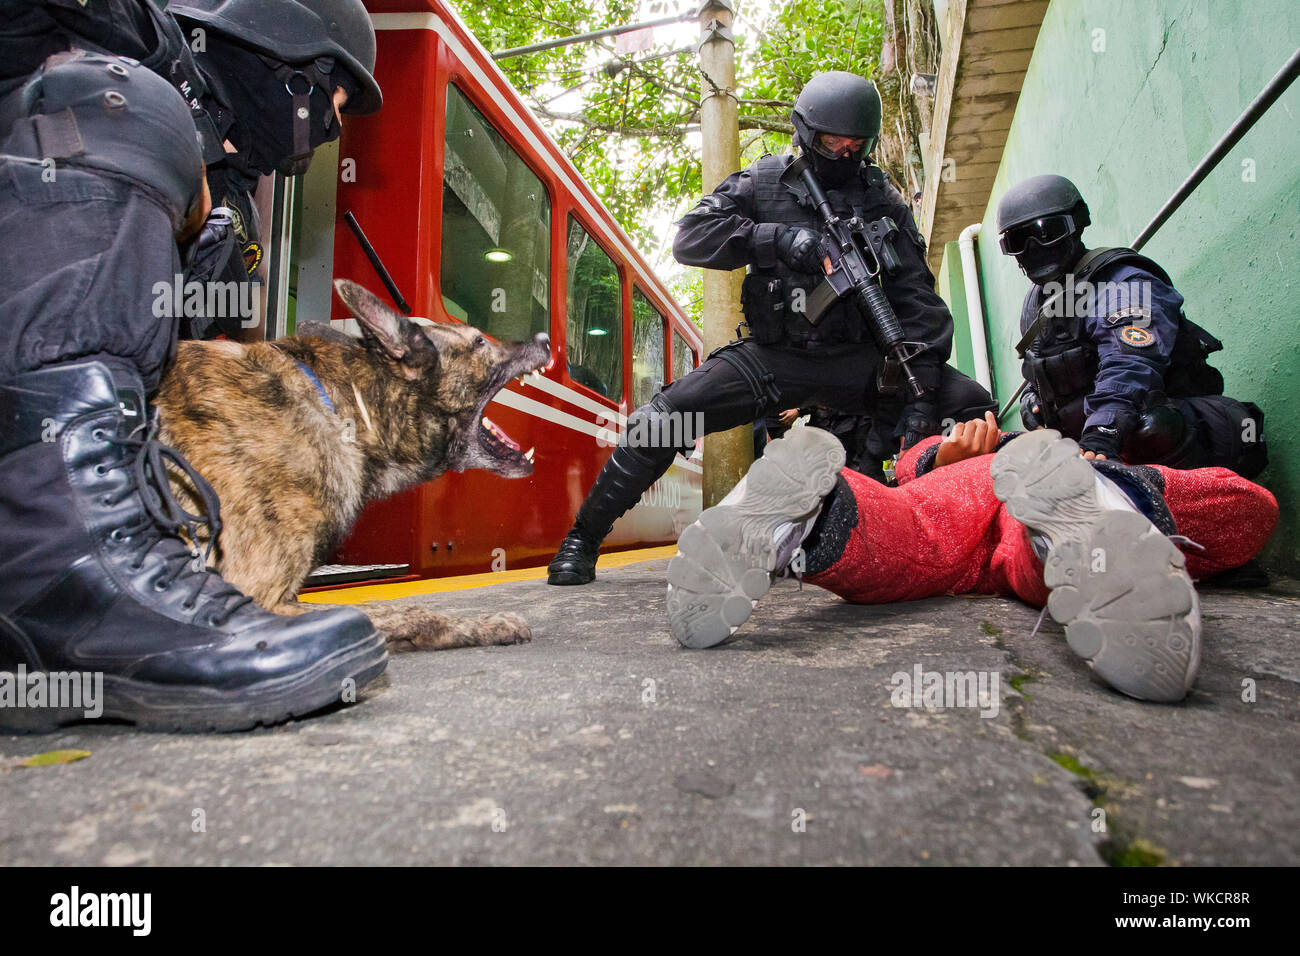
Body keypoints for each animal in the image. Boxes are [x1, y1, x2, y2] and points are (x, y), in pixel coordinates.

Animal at [152, 278, 548, 650]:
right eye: (479, 341)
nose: (545, 338)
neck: (344, 409)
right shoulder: (257, 595)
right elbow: (403, 611)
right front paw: (484, 625)